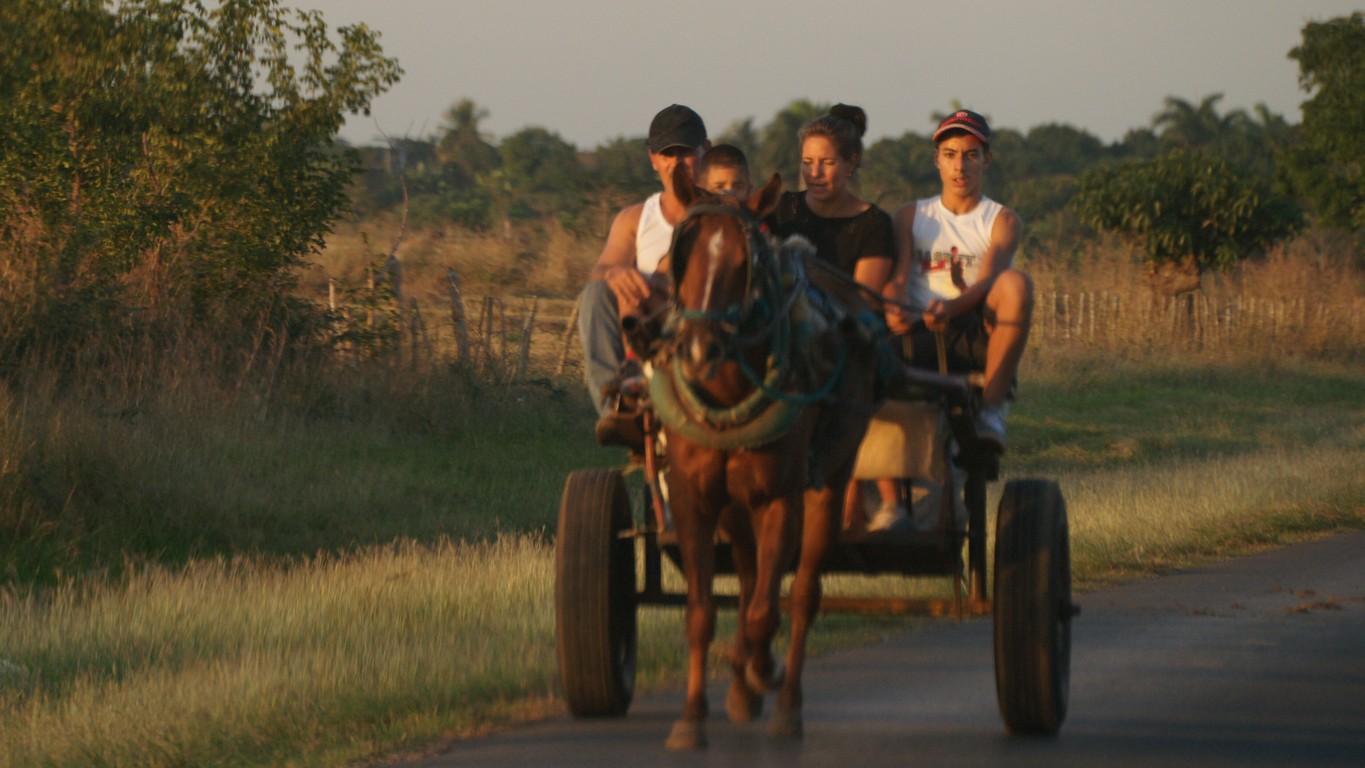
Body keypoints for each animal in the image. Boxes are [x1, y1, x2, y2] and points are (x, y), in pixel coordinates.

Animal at [652, 168, 884, 752]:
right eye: (680, 255)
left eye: (745, 263)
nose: (698, 352)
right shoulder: (692, 498)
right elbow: (703, 610)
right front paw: (692, 716)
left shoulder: (780, 498)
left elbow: (765, 610)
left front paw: (763, 671)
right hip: (736, 507)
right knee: (750, 571)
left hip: (828, 480)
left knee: (801, 594)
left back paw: (783, 701)